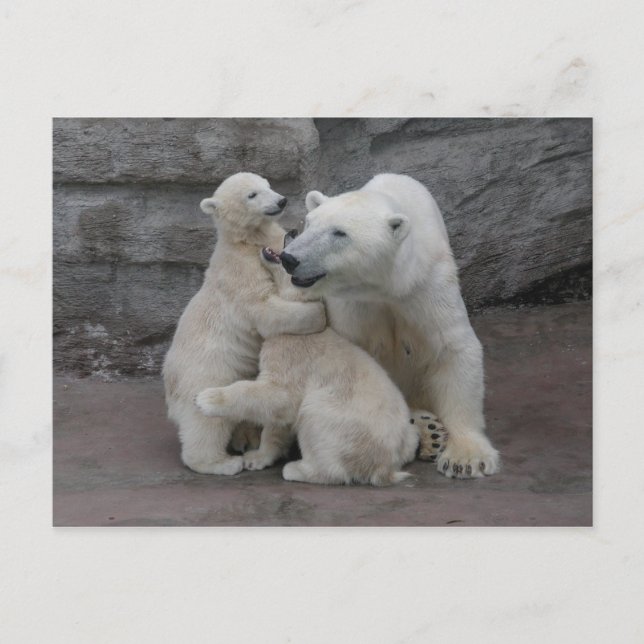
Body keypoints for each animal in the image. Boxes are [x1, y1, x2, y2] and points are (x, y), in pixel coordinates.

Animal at [162, 172, 326, 475]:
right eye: (252, 194)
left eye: (268, 185)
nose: (281, 201)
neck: (247, 241)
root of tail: (170, 386)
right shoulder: (239, 269)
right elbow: (262, 307)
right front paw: (318, 315)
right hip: (206, 372)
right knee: (205, 424)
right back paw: (223, 462)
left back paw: (247, 438)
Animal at [194, 244, 444, 486]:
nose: (291, 233)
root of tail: (386, 467)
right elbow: (279, 421)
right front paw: (256, 458)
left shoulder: (292, 355)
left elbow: (279, 396)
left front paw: (207, 399)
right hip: (403, 438)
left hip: (344, 426)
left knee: (314, 414)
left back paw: (297, 469)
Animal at [277, 173, 500, 479]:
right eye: (309, 223)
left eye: (339, 233)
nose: (289, 258)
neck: (386, 285)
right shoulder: (353, 304)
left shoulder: (427, 283)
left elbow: (453, 348)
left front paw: (466, 458)